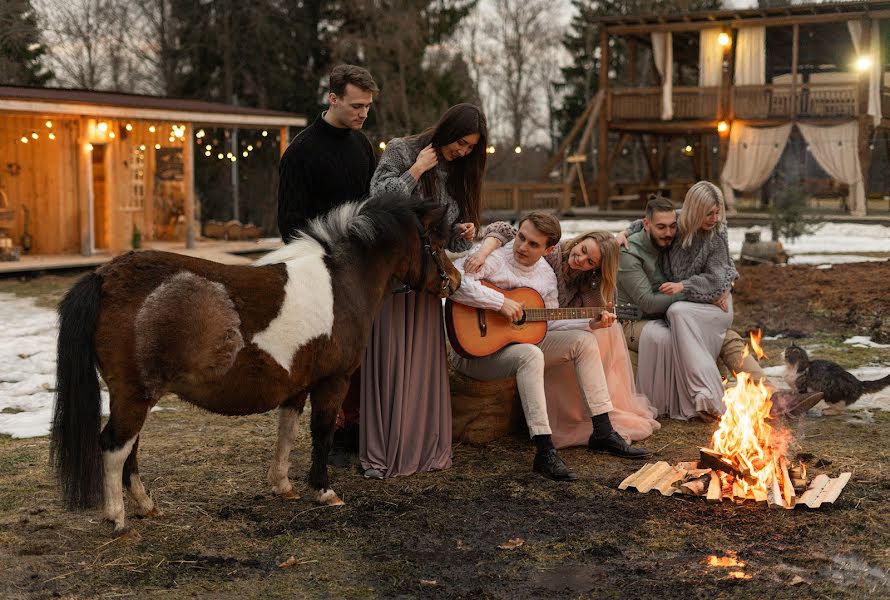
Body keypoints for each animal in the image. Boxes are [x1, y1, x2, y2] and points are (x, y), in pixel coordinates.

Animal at [50, 195, 458, 532]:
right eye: (436, 243)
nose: (453, 280)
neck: (341, 282)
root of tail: (105, 276)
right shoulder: (333, 382)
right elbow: (322, 434)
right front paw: (323, 490)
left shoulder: (297, 386)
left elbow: (287, 433)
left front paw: (283, 485)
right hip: (136, 395)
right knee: (114, 448)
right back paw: (117, 519)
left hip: (134, 397)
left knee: (129, 451)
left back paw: (147, 506)